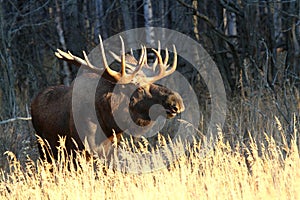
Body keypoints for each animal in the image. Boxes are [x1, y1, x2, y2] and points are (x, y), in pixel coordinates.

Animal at [31, 35, 185, 161]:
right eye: (140, 88)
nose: (177, 102)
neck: (109, 123)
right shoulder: (80, 151)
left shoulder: (111, 151)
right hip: (44, 148)